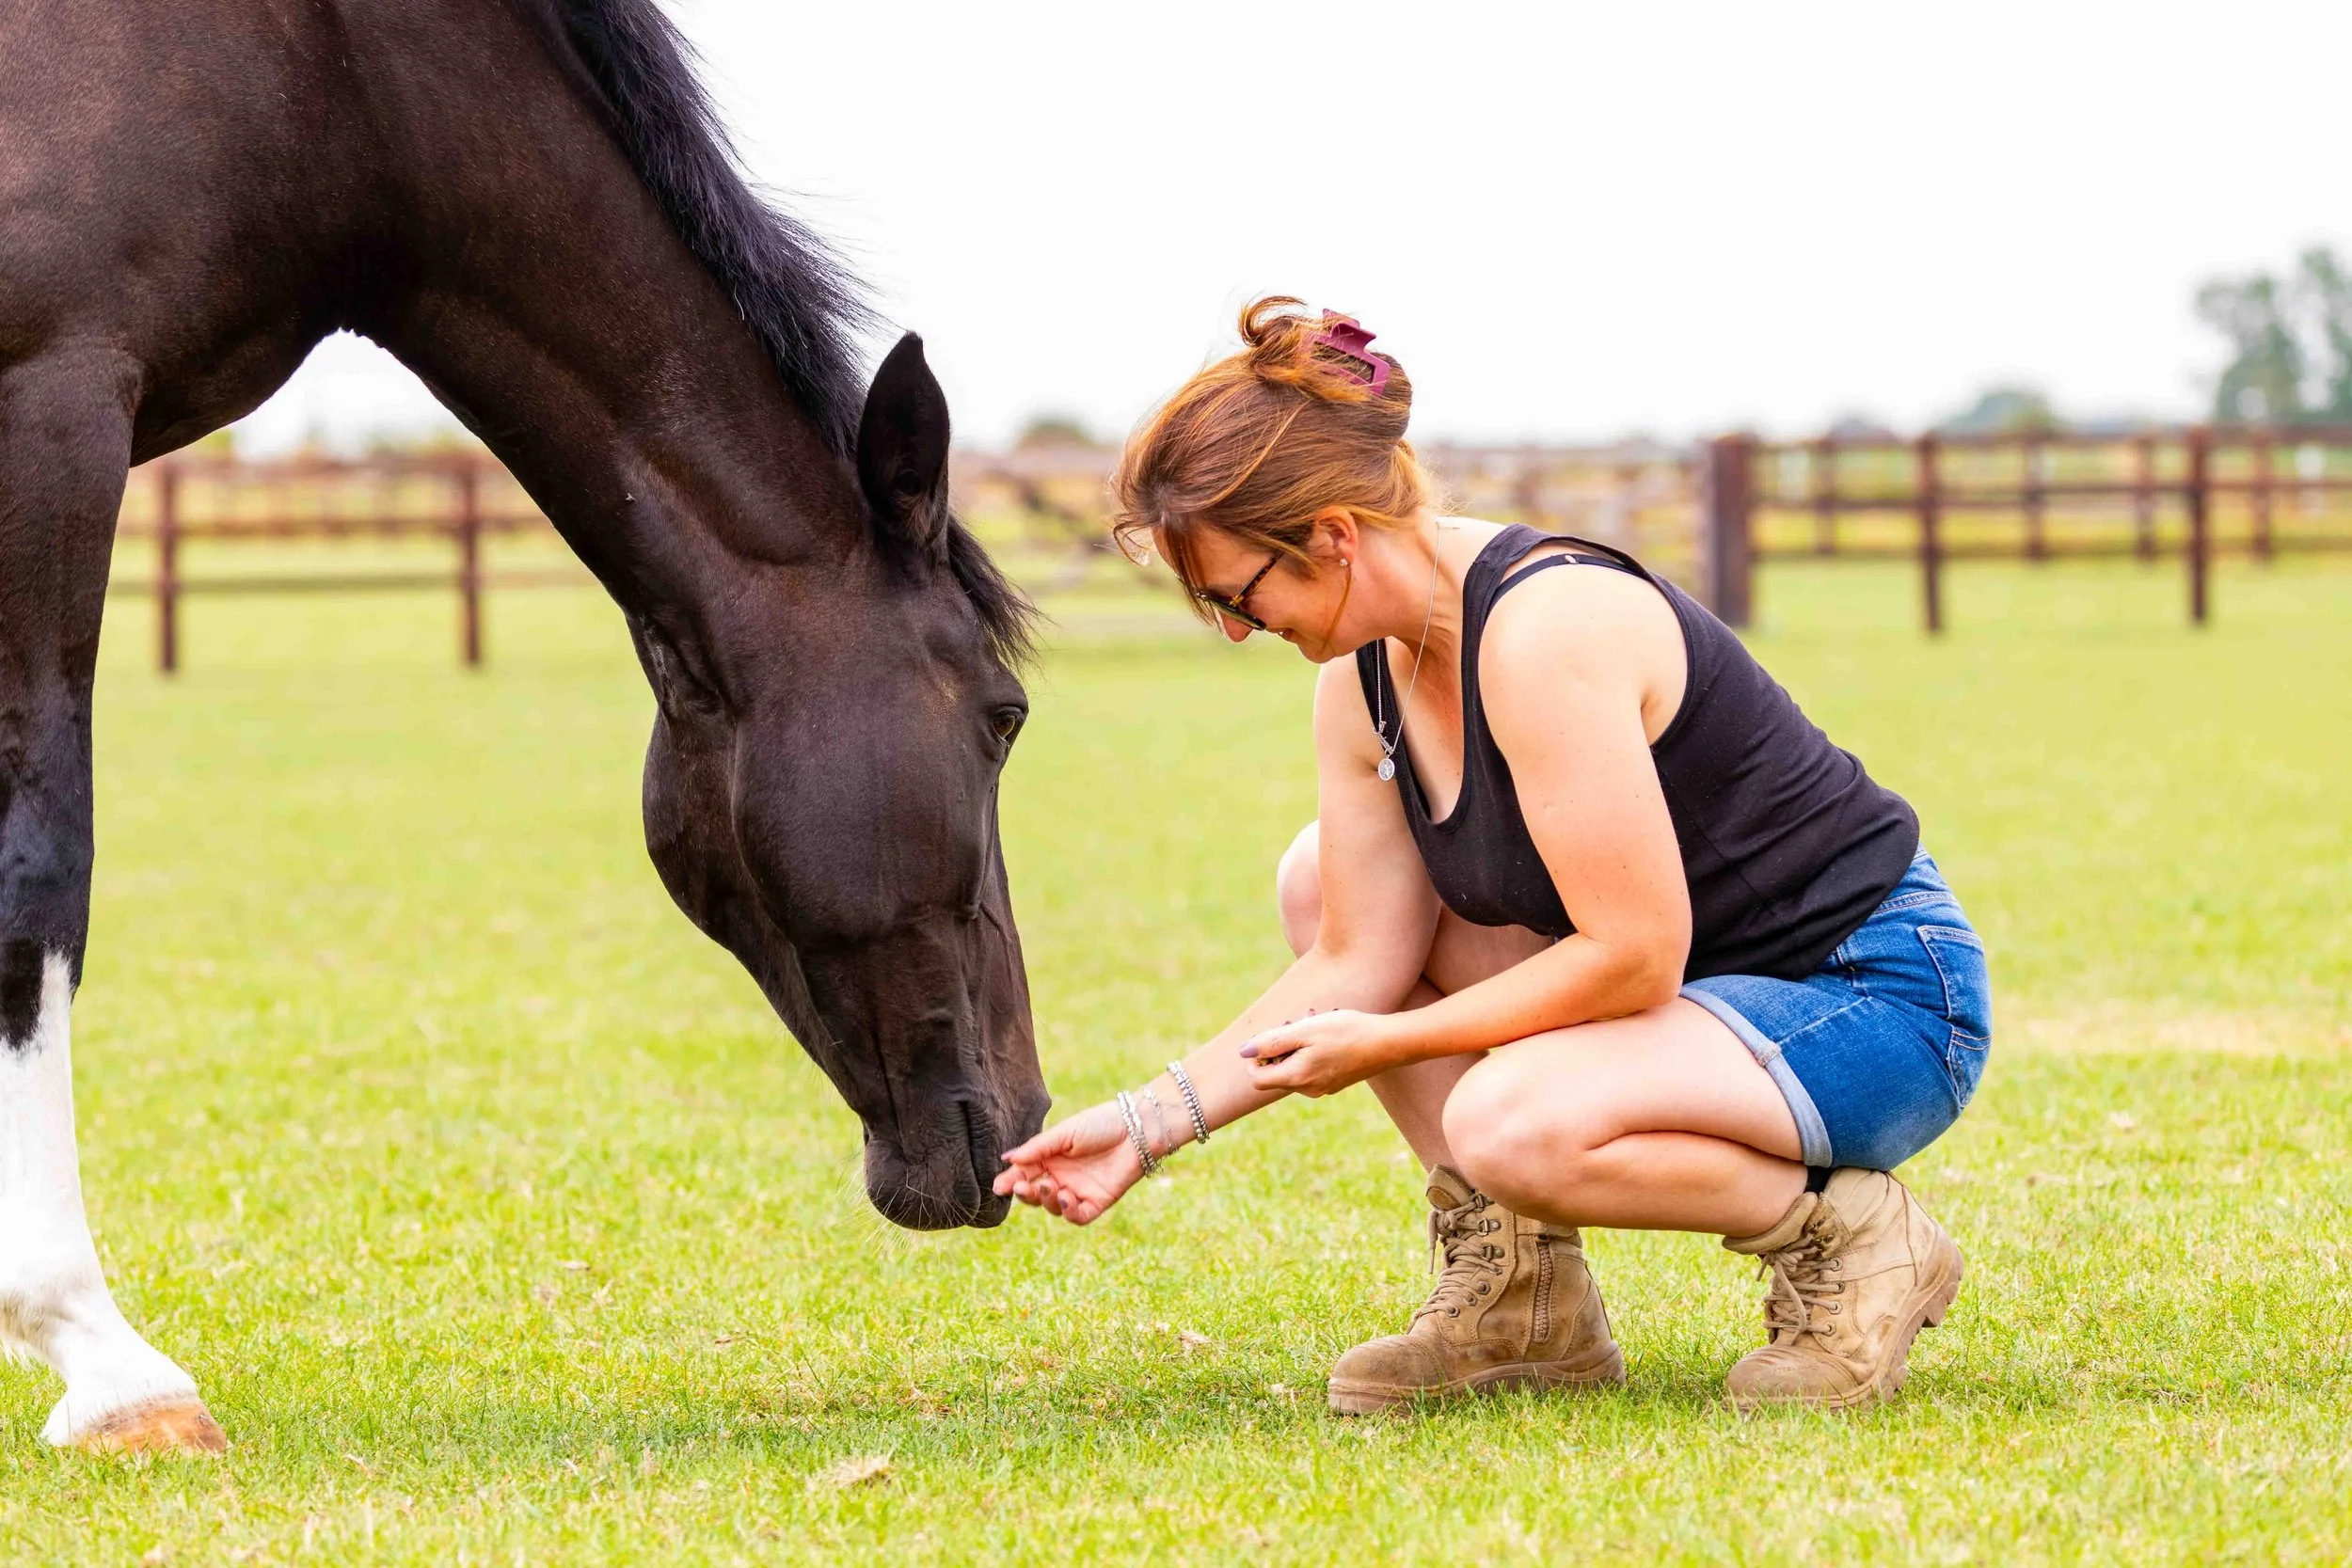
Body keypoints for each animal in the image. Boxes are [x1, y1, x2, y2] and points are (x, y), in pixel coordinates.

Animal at [0, 0, 1051, 1454]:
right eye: (1005, 717)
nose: (1026, 1119)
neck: (323, 74)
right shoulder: (48, 409)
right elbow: (42, 870)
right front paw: (103, 1359)